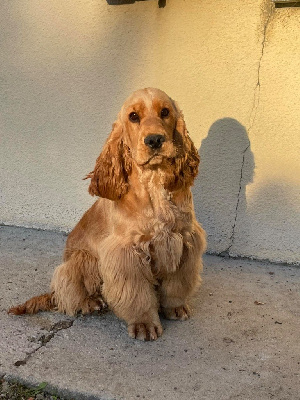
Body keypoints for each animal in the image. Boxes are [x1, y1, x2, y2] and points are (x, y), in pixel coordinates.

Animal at [8, 88, 206, 340]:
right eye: (133, 116)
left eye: (165, 112)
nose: (154, 140)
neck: (153, 183)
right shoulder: (125, 252)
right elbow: (136, 294)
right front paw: (144, 323)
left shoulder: (184, 239)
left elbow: (177, 283)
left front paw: (175, 307)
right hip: (81, 259)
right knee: (66, 295)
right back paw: (91, 302)